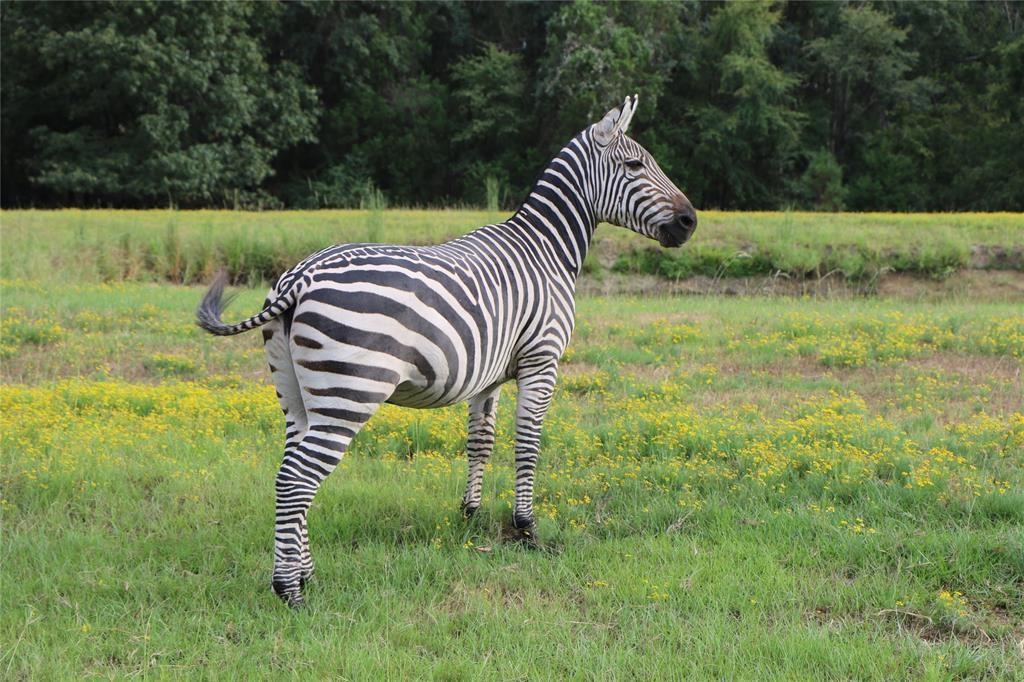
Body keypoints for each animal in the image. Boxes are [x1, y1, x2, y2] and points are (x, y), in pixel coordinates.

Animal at [196, 94, 700, 606]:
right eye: (635, 165)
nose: (690, 221)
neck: (546, 250)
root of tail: (299, 276)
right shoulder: (542, 360)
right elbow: (529, 443)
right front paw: (526, 529)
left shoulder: (490, 374)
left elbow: (481, 442)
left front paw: (470, 514)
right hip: (349, 393)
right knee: (297, 479)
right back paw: (289, 591)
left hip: (296, 394)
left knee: (288, 470)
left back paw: (305, 574)